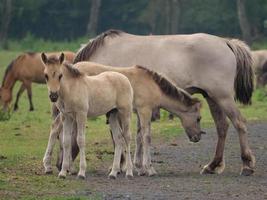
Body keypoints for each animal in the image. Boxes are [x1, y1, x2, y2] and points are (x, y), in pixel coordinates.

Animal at [43, 61, 203, 177]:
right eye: (198, 118)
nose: (197, 138)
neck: (151, 84)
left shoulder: (138, 112)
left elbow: (138, 137)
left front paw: (138, 168)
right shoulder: (145, 110)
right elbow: (146, 137)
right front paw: (148, 169)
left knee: (57, 129)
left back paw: (59, 166)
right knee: (56, 128)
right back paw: (54, 166)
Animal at [74, 28, 256, 176]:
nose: (66, 168)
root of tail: (225, 42)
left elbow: (119, 136)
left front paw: (123, 166)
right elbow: (138, 135)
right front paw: (138, 165)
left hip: (222, 97)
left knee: (239, 123)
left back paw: (247, 165)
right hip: (212, 98)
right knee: (222, 127)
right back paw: (212, 165)